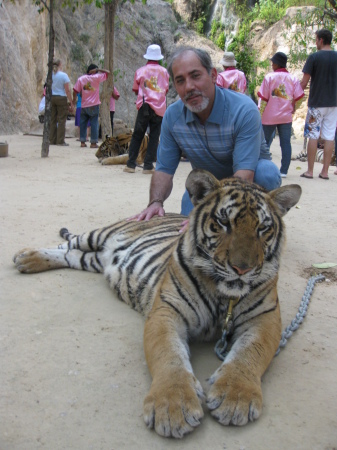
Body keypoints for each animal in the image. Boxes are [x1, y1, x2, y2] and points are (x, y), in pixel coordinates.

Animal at [13, 170, 302, 440]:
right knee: (67, 243)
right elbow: (169, 355)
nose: (243, 269)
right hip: (97, 235)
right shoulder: (167, 311)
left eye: (263, 228)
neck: (224, 296)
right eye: (223, 222)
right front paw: (173, 408)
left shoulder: (264, 319)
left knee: (72, 255)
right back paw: (25, 256)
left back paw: (29, 261)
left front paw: (235, 397)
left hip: (93, 260)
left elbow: (248, 354)